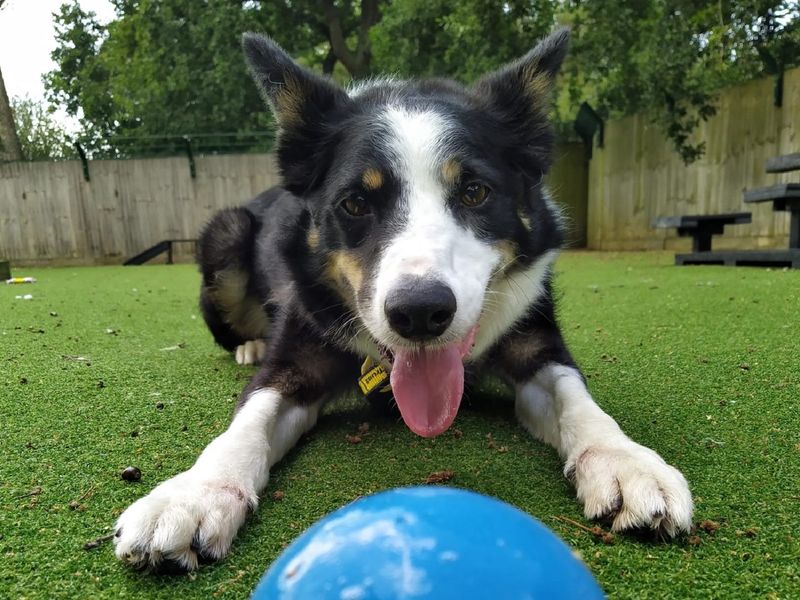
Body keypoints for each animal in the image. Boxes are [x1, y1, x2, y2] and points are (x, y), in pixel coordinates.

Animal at [114, 28, 692, 572]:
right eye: (354, 203)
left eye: (475, 192)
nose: (419, 313)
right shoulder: (292, 360)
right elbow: (245, 426)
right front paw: (192, 495)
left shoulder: (535, 339)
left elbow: (577, 397)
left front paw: (625, 462)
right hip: (225, 234)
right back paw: (248, 346)